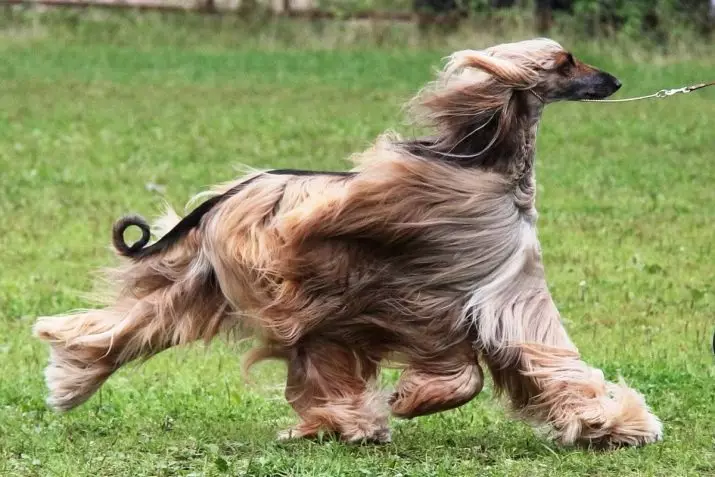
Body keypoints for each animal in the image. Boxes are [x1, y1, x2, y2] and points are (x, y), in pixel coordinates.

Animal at [33, 39, 664, 448]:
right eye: (566, 61)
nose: (615, 82)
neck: (493, 173)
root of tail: (225, 196)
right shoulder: (434, 295)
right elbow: (467, 372)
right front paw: (411, 399)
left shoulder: (502, 300)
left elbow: (537, 360)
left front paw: (613, 425)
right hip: (268, 283)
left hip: (210, 283)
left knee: (138, 322)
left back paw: (69, 377)